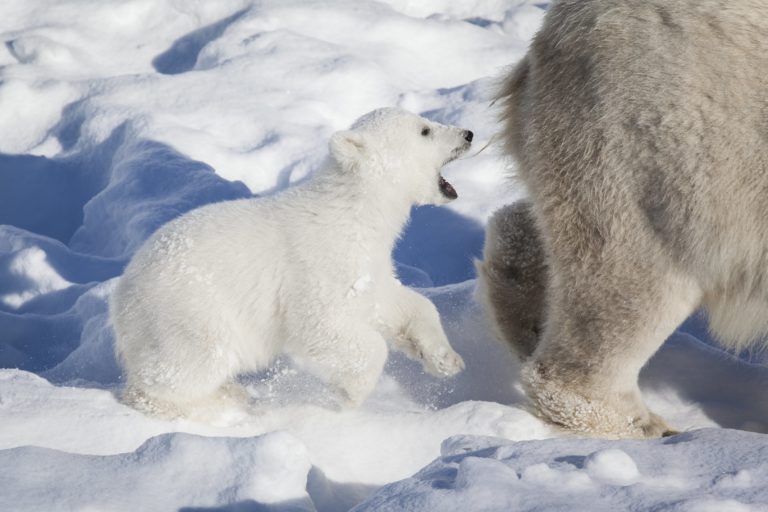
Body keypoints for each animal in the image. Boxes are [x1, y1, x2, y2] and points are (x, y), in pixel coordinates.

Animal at [109, 108, 468, 416]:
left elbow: (394, 302)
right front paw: (349, 394)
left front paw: (445, 359)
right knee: (189, 365)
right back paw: (219, 400)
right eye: (424, 130)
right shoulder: (319, 266)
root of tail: (121, 296)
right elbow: (322, 324)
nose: (468, 134)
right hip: (188, 311)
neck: (353, 211)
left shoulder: (366, 264)